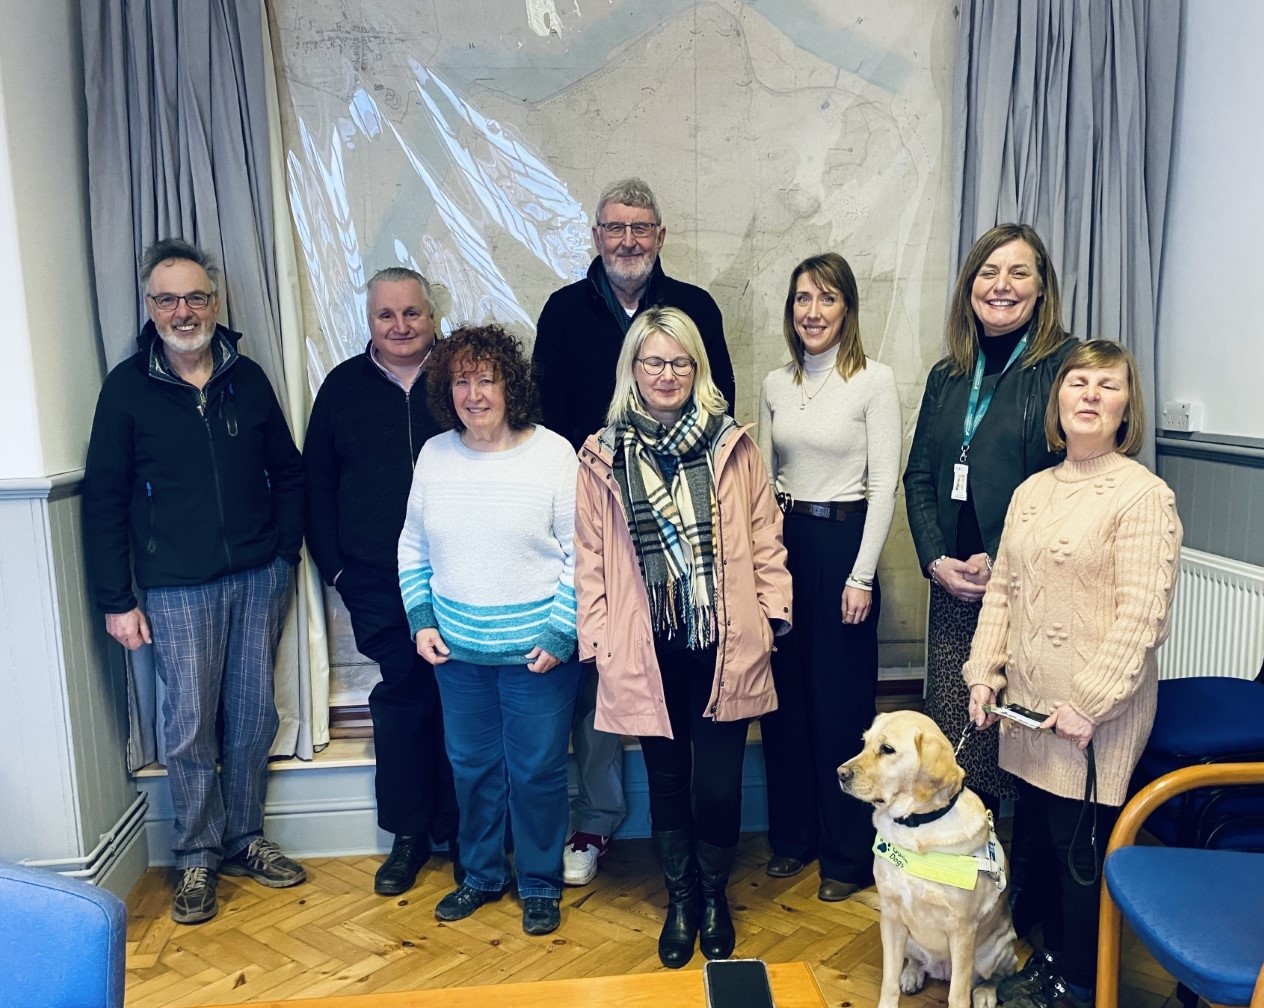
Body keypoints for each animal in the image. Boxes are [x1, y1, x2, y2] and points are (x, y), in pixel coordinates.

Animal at [839, 708, 1016, 1006]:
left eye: (887, 749)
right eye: (864, 742)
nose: (840, 773)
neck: (916, 826)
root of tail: (941, 970)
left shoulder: (962, 930)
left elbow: (958, 995)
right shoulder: (892, 917)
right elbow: (888, 982)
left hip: (995, 951)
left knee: (999, 975)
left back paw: (985, 993)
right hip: (907, 938)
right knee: (915, 962)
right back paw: (912, 974)